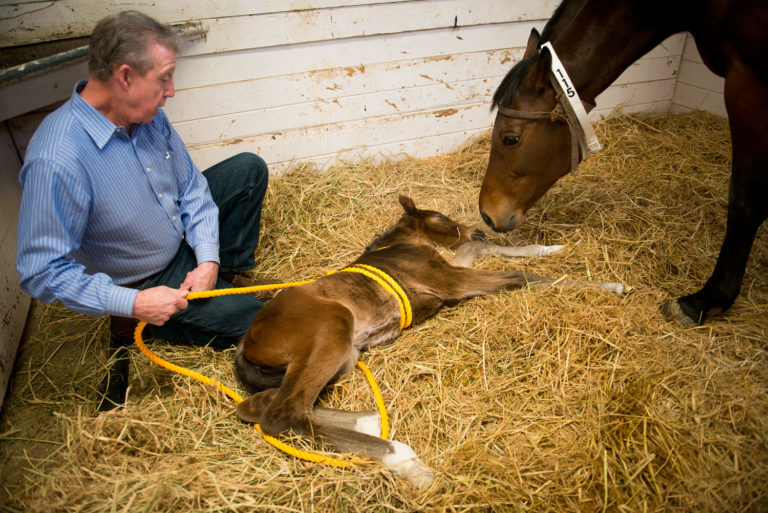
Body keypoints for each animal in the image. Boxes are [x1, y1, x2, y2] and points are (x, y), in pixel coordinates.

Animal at [234, 195, 626, 486]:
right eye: (438, 215)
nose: (478, 232)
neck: (402, 247)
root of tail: (246, 342)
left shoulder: (450, 273)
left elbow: (492, 255)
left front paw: (549, 248)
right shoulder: (449, 282)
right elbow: (519, 276)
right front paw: (610, 285)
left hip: (343, 355)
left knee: (260, 404)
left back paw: (368, 421)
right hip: (333, 328)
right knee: (282, 413)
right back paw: (408, 463)